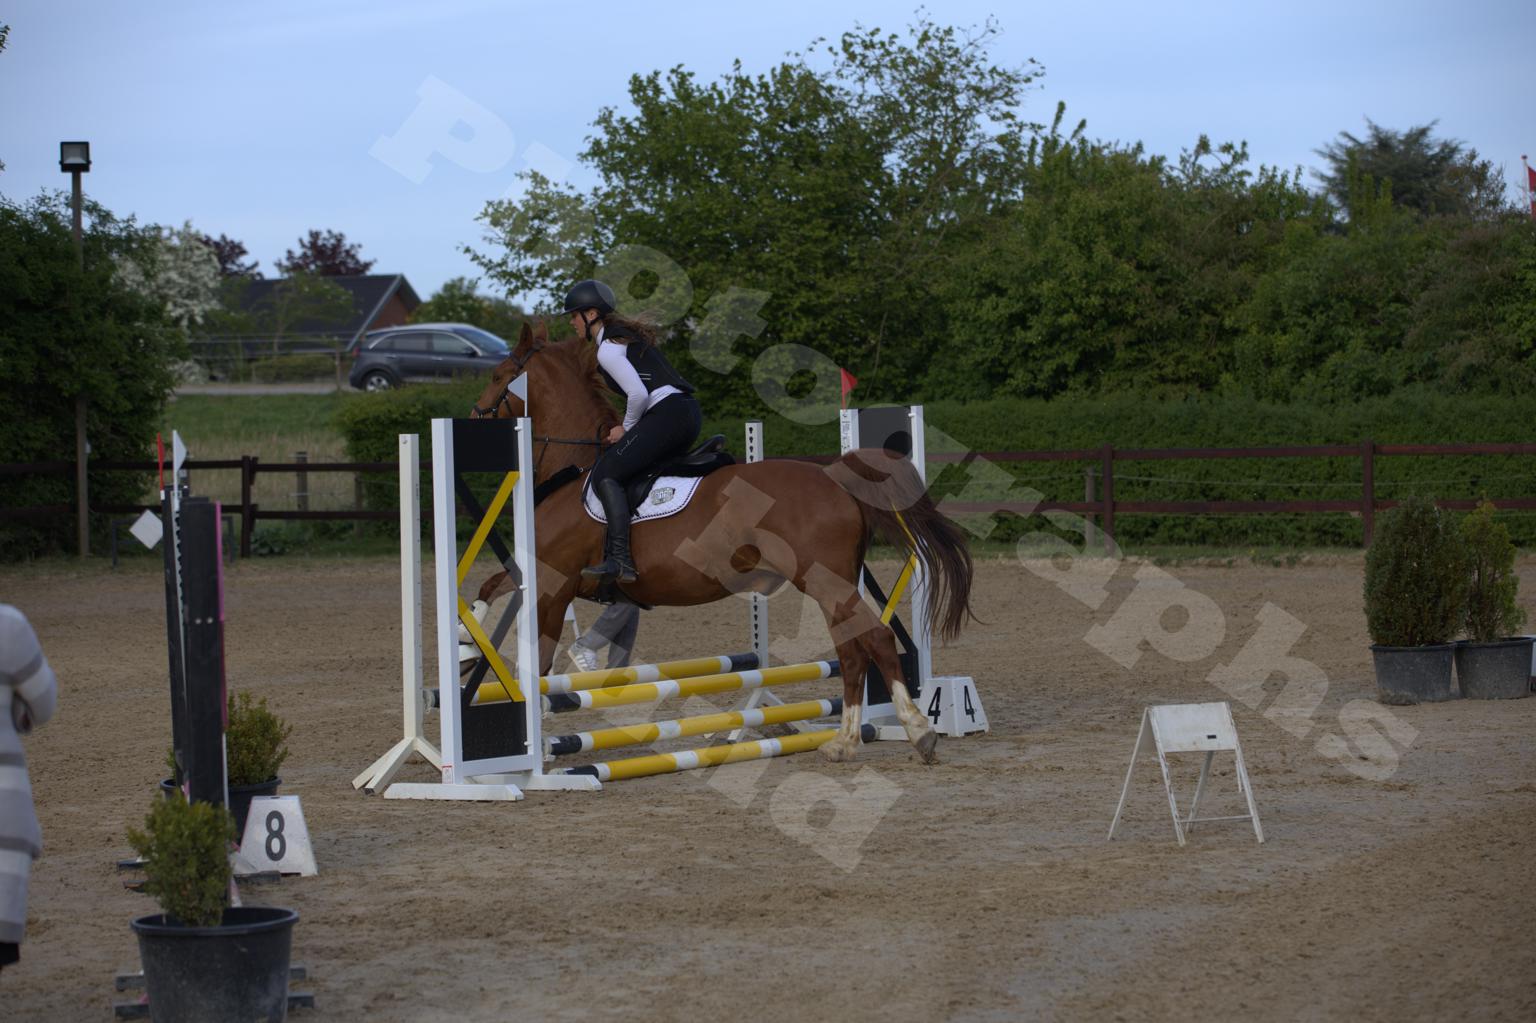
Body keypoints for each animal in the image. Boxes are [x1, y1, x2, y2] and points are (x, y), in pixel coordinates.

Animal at [466, 319, 974, 764]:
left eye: (498, 376)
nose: (472, 418)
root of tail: (833, 475)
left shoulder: (553, 581)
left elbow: (532, 651)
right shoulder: (548, 577)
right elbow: (496, 594)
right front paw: (472, 653)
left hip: (825, 581)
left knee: (874, 640)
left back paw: (912, 732)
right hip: (835, 582)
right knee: (852, 651)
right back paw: (845, 741)